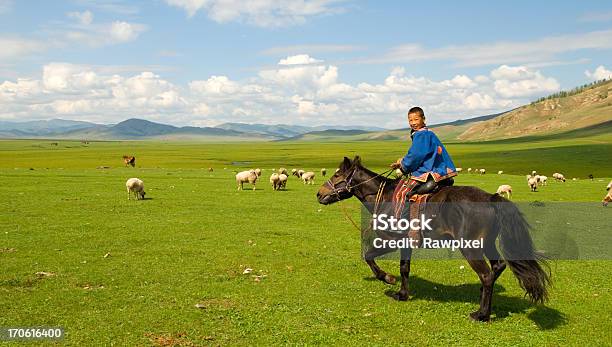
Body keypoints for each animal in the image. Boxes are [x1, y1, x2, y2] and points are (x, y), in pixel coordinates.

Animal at [318, 156, 552, 322]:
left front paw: (387, 278)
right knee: (498, 267)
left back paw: (481, 314)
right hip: (486, 244)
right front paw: (402, 294)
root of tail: (491, 198)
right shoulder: (406, 243)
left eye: (337, 176)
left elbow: (369, 256)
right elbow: (404, 268)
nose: (319, 194)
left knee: (486, 274)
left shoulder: (391, 240)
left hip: (471, 248)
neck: (383, 197)